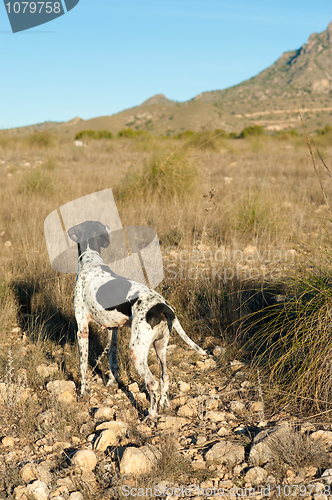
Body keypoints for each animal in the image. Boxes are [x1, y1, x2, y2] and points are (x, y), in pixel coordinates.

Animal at [67, 221, 205, 420]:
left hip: (136, 352)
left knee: (152, 383)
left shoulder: (82, 329)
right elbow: (112, 360)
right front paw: (112, 383)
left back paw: (151, 415)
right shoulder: (113, 329)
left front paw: (83, 393)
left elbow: (83, 366)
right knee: (165, 376)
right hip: (159, 346)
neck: (91, 260)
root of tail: (162, 306)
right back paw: (164, 404)